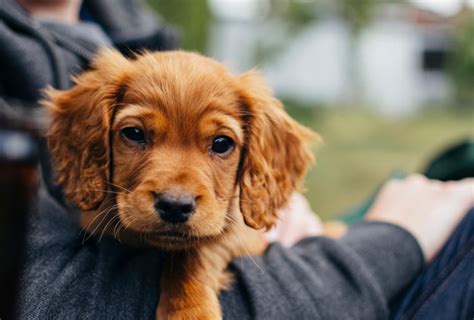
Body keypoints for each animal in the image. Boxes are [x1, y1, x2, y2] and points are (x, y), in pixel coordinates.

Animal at [46, 50, 316, 320]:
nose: (174, 206)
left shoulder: (236, 232)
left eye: (221, 143)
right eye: (134, 133)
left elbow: (195, 251)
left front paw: (192, 311)